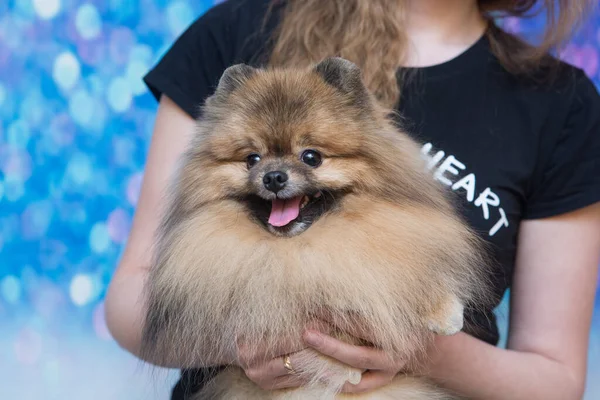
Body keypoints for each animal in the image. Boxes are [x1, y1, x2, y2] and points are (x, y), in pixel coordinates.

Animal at [143, 57, 490, 398]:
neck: (306, 245)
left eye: (311, 157)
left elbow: (406, 273)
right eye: (252, 159)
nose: (273, 177)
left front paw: (445, 313)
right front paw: (342, 369)